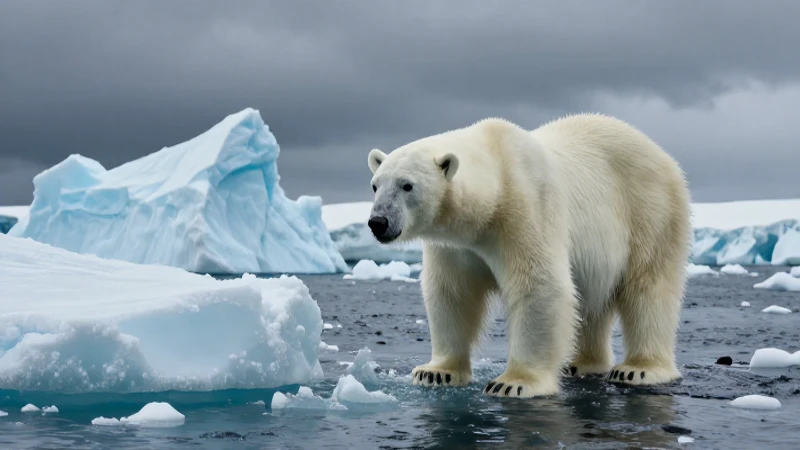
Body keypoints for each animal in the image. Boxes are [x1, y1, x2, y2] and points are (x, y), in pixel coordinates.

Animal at [365, 113, 691, 398]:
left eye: (407, 185)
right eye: (375, 185)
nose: (378, 222)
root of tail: (661, 154)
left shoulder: (526, 208)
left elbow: (539, 286)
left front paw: (513, 383)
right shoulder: (455, 245)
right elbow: (452, 293)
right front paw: (435, 372)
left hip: (651, 210)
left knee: (649, 288)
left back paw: (638, 369)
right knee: (590, 302)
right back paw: (581, 364)